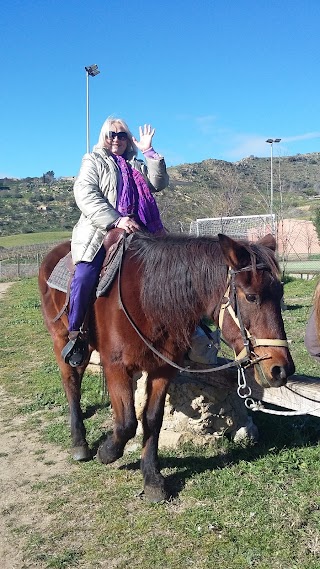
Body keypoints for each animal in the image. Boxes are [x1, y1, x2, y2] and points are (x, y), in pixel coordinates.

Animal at [38, 229, 296, 500]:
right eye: (251, 297)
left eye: (280, 294)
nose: (281, 369)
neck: (146, 300)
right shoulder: (116, 366)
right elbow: (127, 422)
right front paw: (108, 452)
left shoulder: (162, 368)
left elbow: (152, 419)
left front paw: (152, 478)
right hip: (63, 341)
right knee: (72, 383)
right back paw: (79, 443)